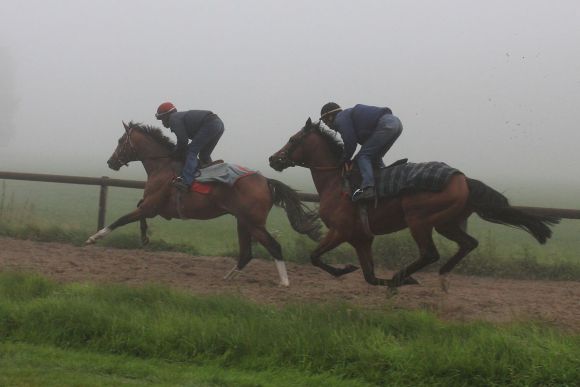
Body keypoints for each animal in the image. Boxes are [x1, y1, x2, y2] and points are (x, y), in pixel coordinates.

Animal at [86, 123, 322, 286]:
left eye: (120, 141)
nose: (110, 162)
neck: (162, 165)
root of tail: (266, 181)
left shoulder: (151, 206)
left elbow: (121, 219)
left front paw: (94, 237)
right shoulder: (153, 208)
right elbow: (138, 208)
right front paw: (144, 237)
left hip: (253, 223)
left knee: (273, 246)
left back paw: (284, 282)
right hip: (242, 222)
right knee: (246, 253)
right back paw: (228, 277)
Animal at [270, 118, 560, 292]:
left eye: (293, 139)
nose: (273, 159)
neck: (335, 181)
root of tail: (463, 178)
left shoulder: (341, 231)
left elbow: (315, 257)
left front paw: (348, 270)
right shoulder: (362, 238)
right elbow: (368, 276)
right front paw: (362, 272)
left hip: (418, 219)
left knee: (430, 253)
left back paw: (404, 277)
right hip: (446, 222)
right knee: (468, 243)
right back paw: (440, 277)